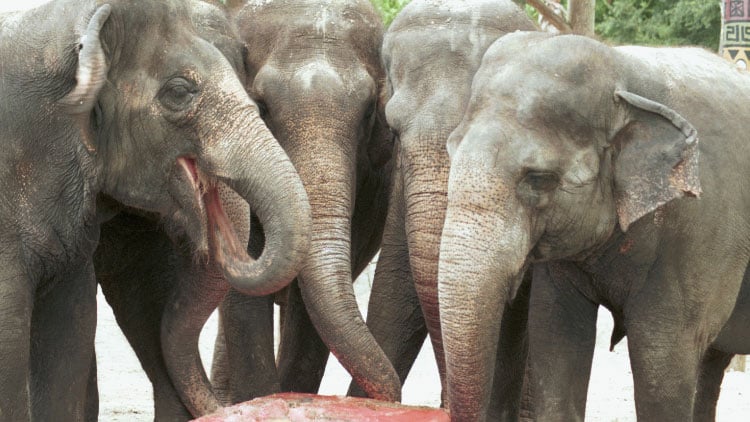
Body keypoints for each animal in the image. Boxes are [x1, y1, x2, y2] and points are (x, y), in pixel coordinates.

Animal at [438, 31, 750, 421]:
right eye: (450, 153)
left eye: (538, 178)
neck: (626, 75)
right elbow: (557, 342)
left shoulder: (701, 228)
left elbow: (662, 364)